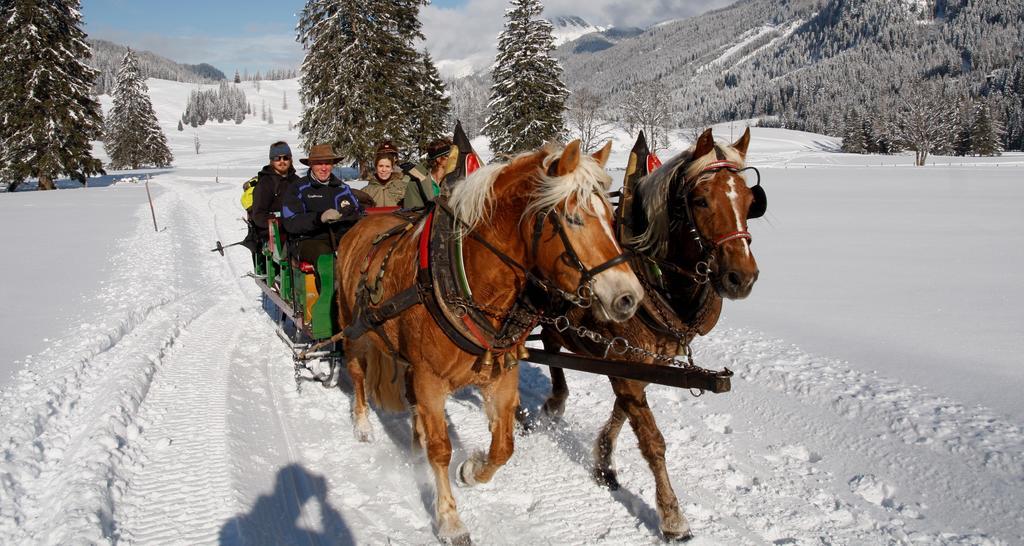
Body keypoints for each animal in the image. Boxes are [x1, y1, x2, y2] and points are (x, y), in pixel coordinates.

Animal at [335, 141, 638, 544]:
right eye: (574, 219)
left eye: (611, 215)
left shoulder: (500, 375)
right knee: (357, 376)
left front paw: (471, 469)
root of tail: (361, 223)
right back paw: (363, 425)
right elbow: (441, 449)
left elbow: (503, 447)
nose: (629, 297)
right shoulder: (431, 380)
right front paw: (450, 519)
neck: (467, 281)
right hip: (352, 332)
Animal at [540, 126, 765, 536]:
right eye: (701, 200)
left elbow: (622, 414)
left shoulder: (640, 364)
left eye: (748, 199)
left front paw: (603, 462)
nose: (742, 278)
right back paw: (552, 402)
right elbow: (651, 440)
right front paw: (672, 516)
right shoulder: (625, 364)